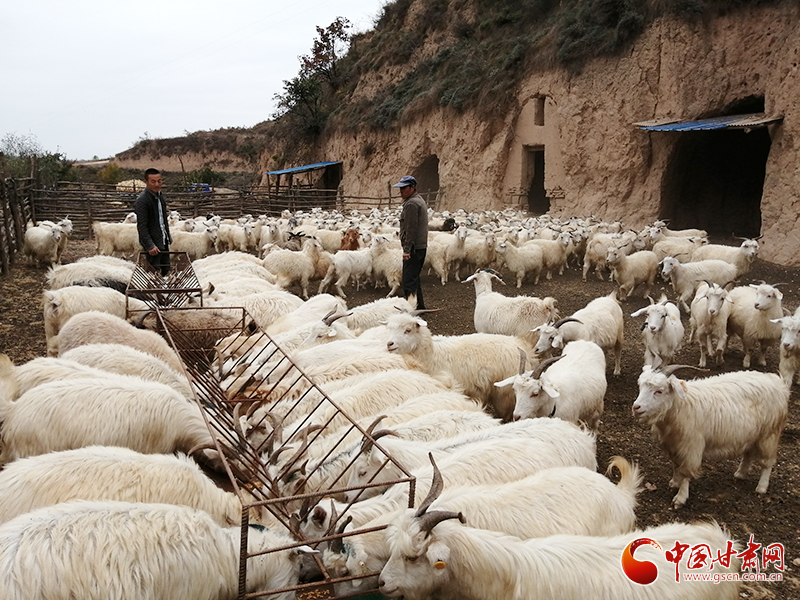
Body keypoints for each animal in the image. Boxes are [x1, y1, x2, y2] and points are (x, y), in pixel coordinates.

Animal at [636, 366, 792, 506]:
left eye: (659, 391)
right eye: (640, 388)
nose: (636, 407)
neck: (680, 405)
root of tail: (778, 383)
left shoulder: (691, 447)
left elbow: (686, 472)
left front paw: (680, 497)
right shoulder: (674, 445)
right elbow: (676, 465)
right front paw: (674, 482)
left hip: (769, 434)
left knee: (767, 462)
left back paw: (761, 487)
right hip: (750, 434)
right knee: (748, 454)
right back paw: (740, 474)